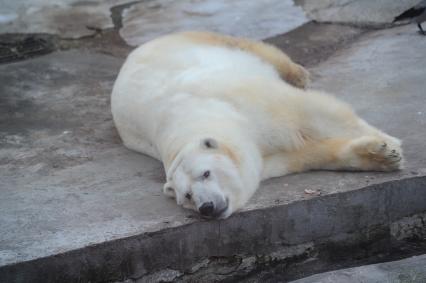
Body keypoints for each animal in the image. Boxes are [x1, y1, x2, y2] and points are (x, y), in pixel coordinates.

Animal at [110, 31, 402, 220]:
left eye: (205, 173)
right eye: (187, 197)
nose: (207, 207)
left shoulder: (245, 99)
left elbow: (313, 113)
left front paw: (389, 145)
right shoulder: (266, 159)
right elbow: (308, 155)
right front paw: (379, 155)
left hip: (202, 42)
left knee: (256, 49)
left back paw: (298, 74)